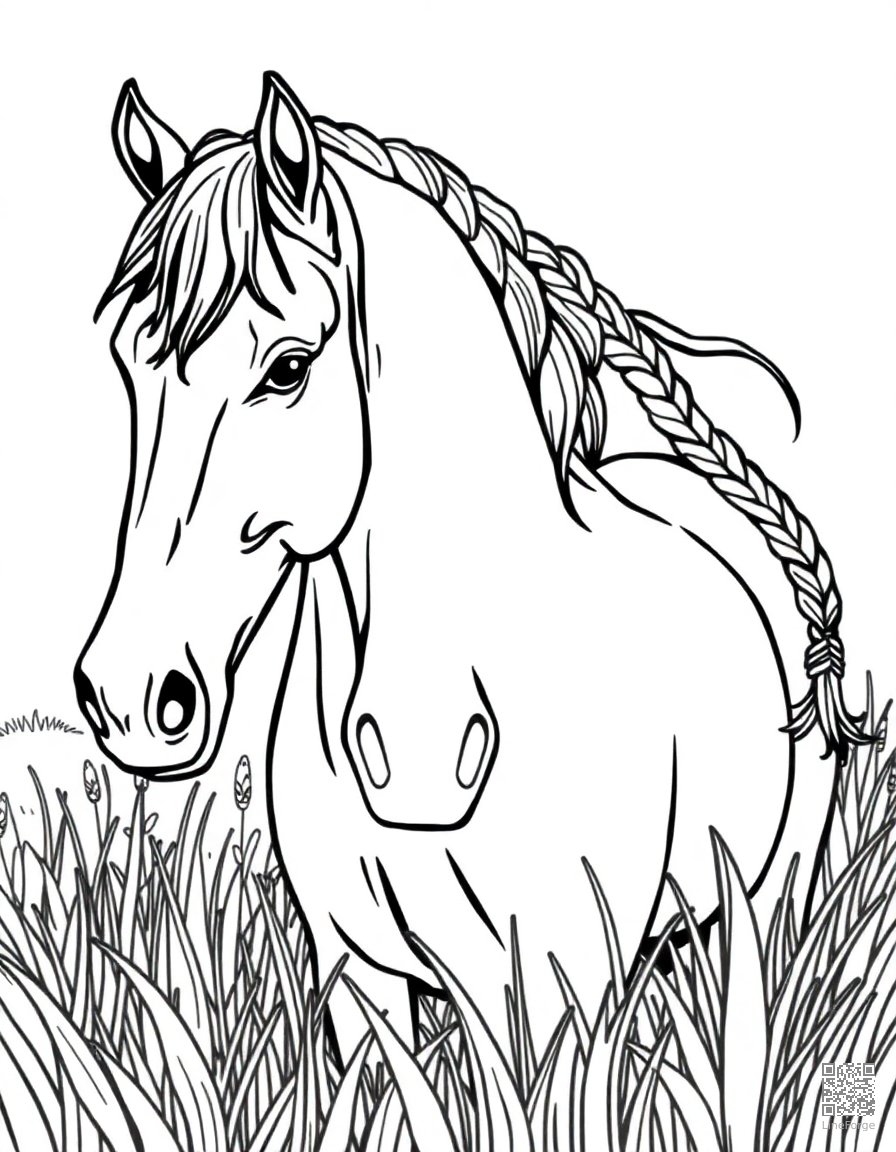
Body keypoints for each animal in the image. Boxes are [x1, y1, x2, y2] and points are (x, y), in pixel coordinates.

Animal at [74, 72, 865, 1055]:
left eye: (287, 368)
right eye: (126, 363)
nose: (133, 698)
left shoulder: (554, 978)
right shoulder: (356, 975)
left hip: (767, 897)